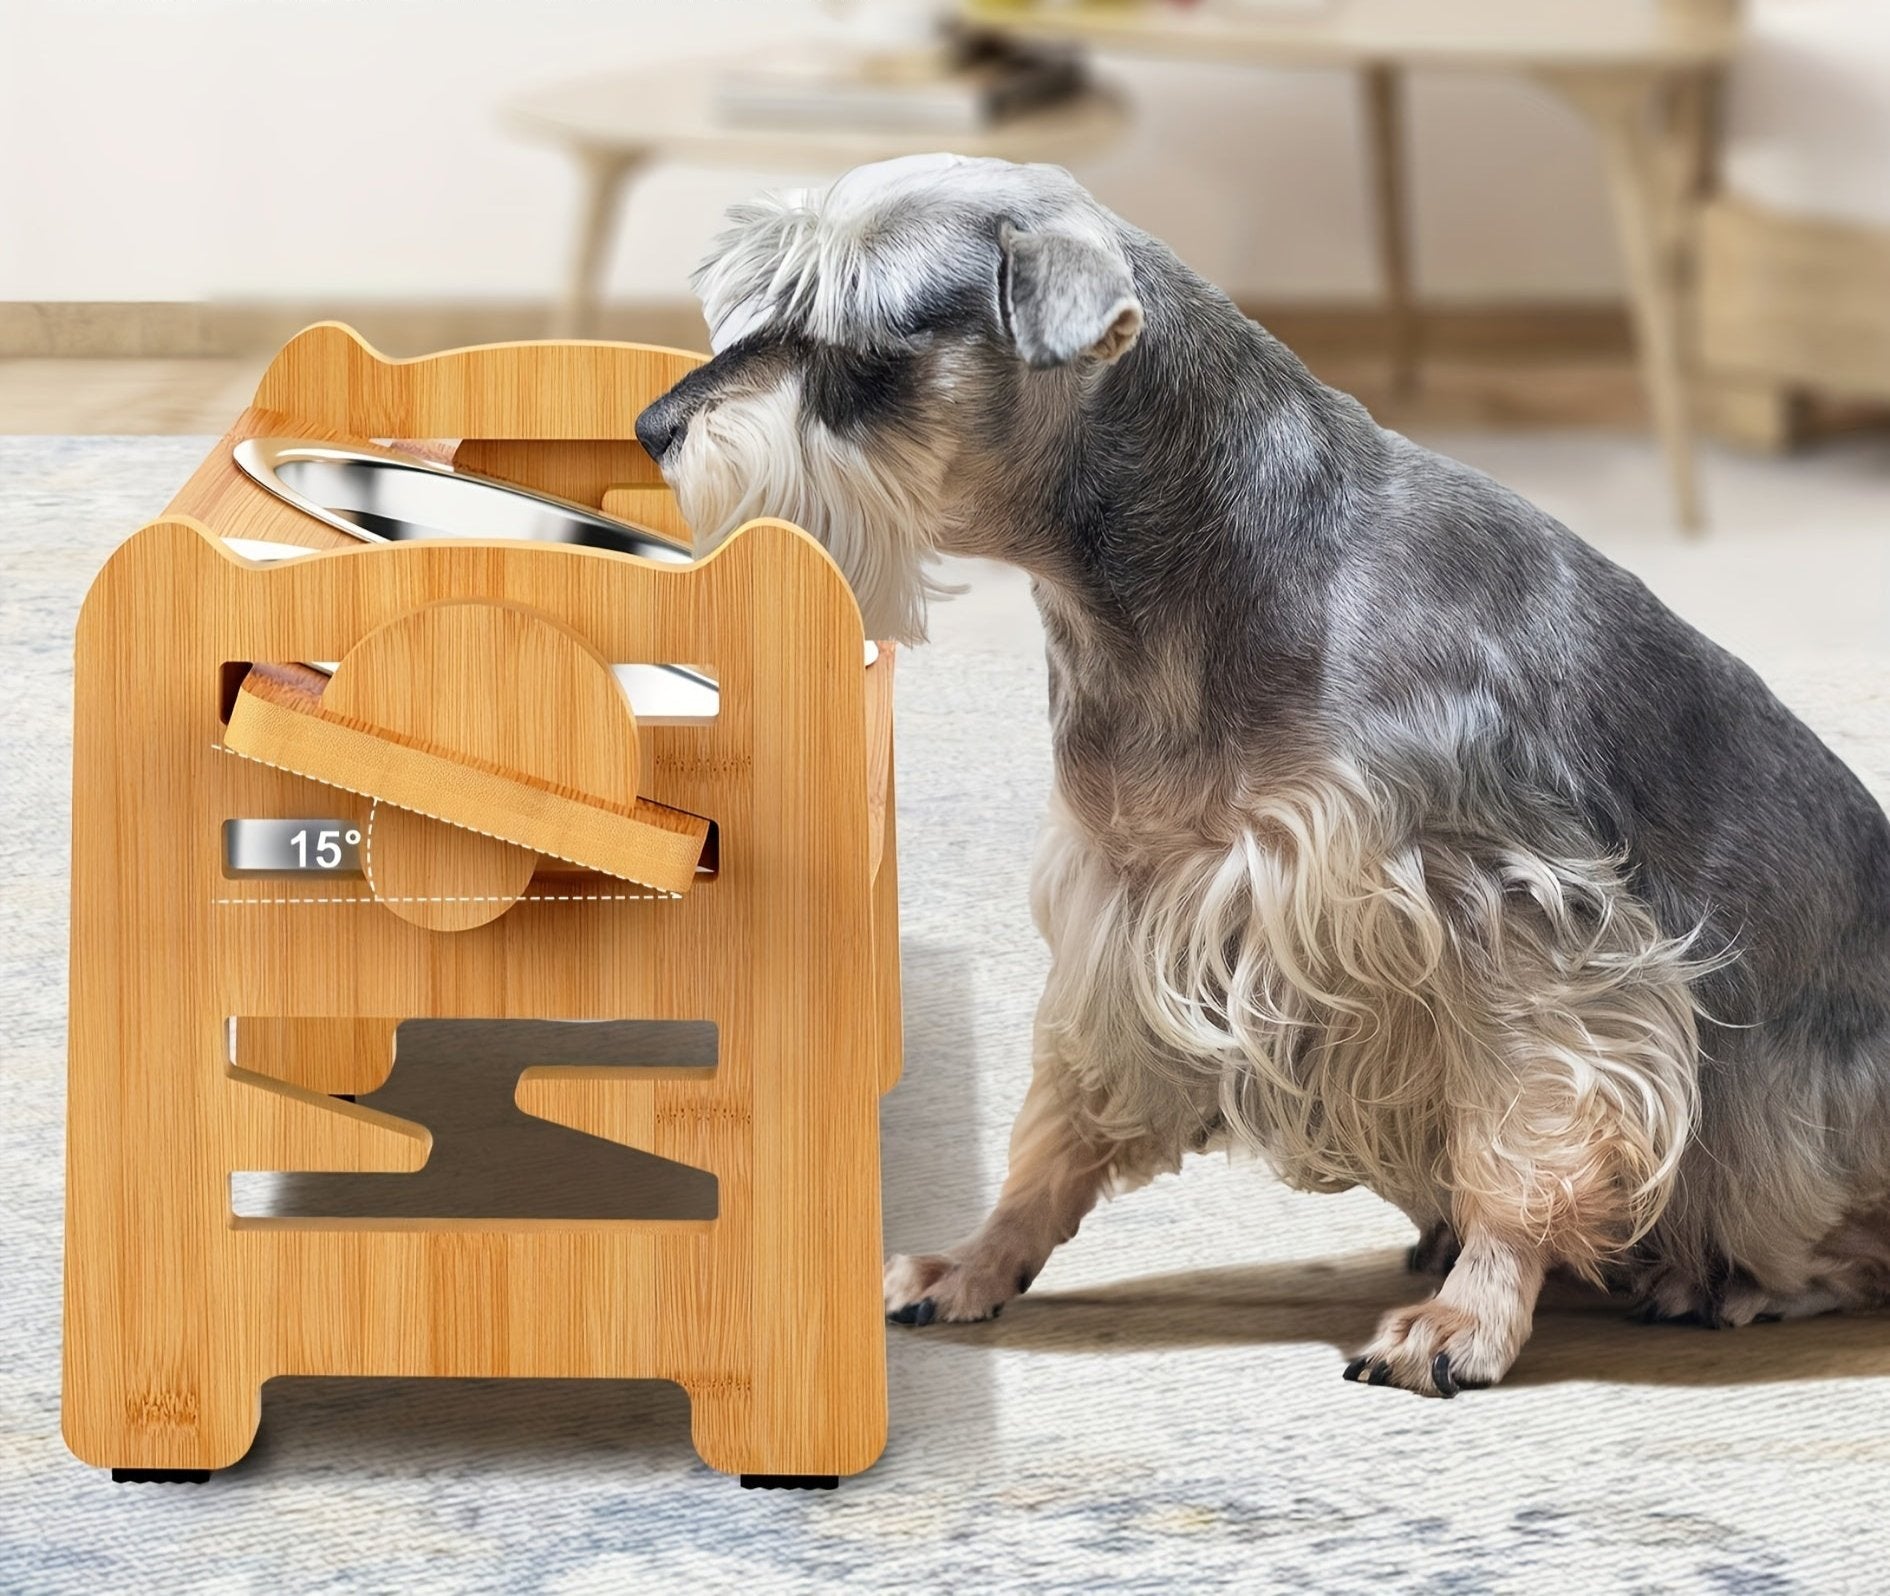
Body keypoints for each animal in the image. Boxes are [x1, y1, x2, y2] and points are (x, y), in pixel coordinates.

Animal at [635, 153, 1890, 1399]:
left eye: (852, 340)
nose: (651, 425)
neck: (1169, 581)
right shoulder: (1127, 908)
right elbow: (1064, 1111)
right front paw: (983, 1256)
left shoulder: (1510, 920)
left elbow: (1527, 1117)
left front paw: (1472, 1311)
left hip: (1781, 1103)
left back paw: (1732, 1278)